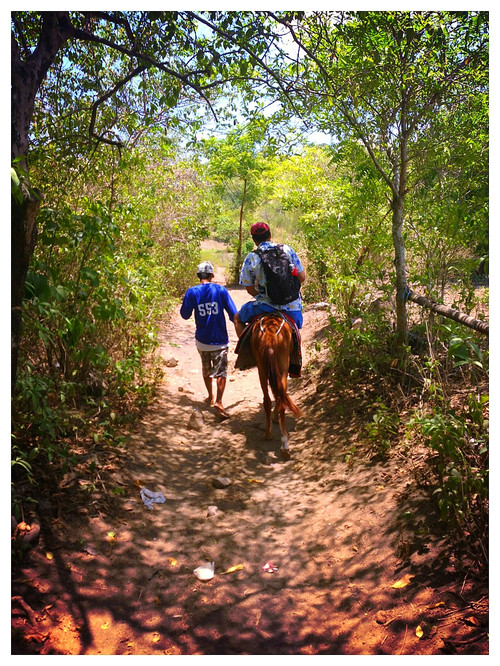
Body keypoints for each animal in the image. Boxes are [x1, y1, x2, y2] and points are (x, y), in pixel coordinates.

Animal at [249, 312, 300, 456]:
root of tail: (270, 332)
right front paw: (275, 417)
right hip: (282, 366)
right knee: (279, 397)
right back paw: (283, 443)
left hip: (263, 369)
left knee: (269, 399)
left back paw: (271, 435)